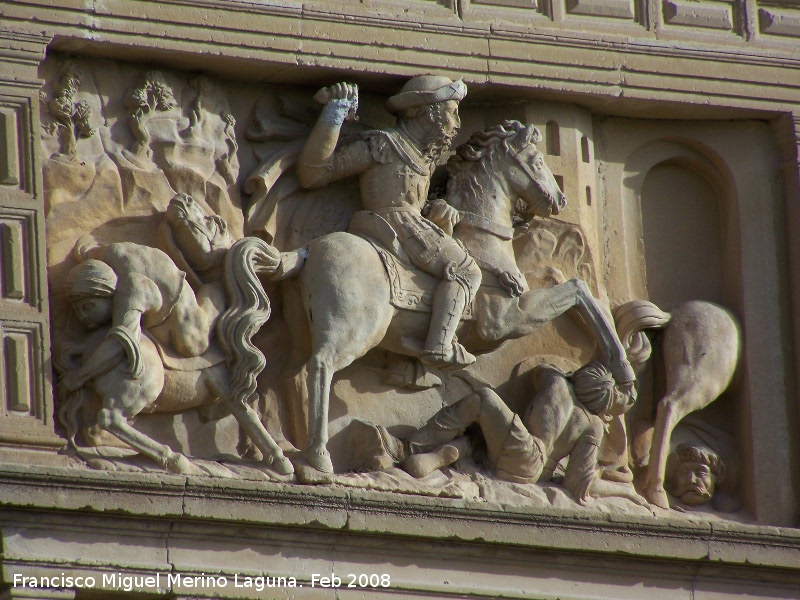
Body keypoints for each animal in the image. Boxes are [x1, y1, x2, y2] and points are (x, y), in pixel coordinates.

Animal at [56, 234, 294, 478]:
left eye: (86, 305)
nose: (83, 319)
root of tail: (86, 346)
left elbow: (246, 412)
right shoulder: (222, 382)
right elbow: (247, 413)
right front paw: (279, 460)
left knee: (100, 427)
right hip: (143, 385)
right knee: (109, 419)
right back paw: (174, 458)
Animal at [247, 119, 636, 474]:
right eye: (537, 160)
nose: (560, 200)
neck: (484, 242)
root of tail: (308, 250)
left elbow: (567, 283)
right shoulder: (506, 320)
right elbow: (579, 291)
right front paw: (622, 372)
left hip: (302, 330)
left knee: (291, 375)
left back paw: (294, 446)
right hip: (352, 332)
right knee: (321, 367)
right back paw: (319, 455)